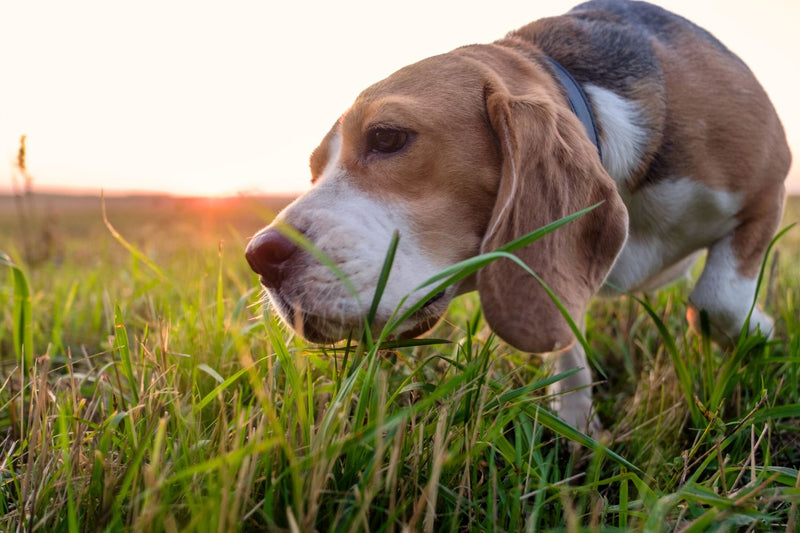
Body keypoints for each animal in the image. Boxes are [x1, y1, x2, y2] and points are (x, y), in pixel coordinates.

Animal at [245, 0, 792, 432]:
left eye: (387, 137)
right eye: (315, 170)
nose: (260, 257)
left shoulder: (770, 184)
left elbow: (716, 300)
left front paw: (760, 333)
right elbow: (565, 338)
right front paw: (576, 427)